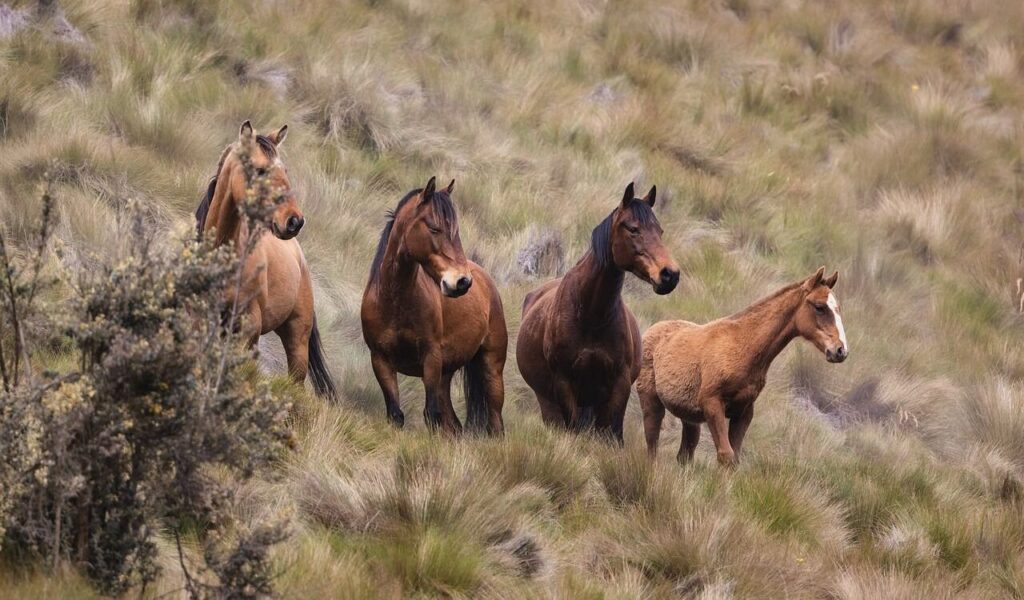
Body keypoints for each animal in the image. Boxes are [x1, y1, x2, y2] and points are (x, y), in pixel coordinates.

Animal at [360, 177, 507, 435]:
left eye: (455, 232)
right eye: (434, 228)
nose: (462, 282)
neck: (394, 302)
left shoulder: (431, 358)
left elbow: (431, 415)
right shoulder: (381, 361)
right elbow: (396, 415)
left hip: (491, 369)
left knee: (496, 423)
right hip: (444, 376)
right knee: (453, 424)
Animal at [516, 182, 680, 443]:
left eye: (660, 231)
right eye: (633, 229)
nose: (670, 275)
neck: (591, 316)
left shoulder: (619, 384)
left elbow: (610, 433)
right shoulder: (564, 382)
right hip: (549, 402)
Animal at [637, 267, 849, 466]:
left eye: (838, 308)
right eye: (819, 307)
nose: (840, 350)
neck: (744, 346)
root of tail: (651, 330)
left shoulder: (744, 411)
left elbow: (735, 457)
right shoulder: (712, 404)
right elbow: (726, 456)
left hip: (689, 417)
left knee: (684, 455)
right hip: (652, 404)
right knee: (652, 447)